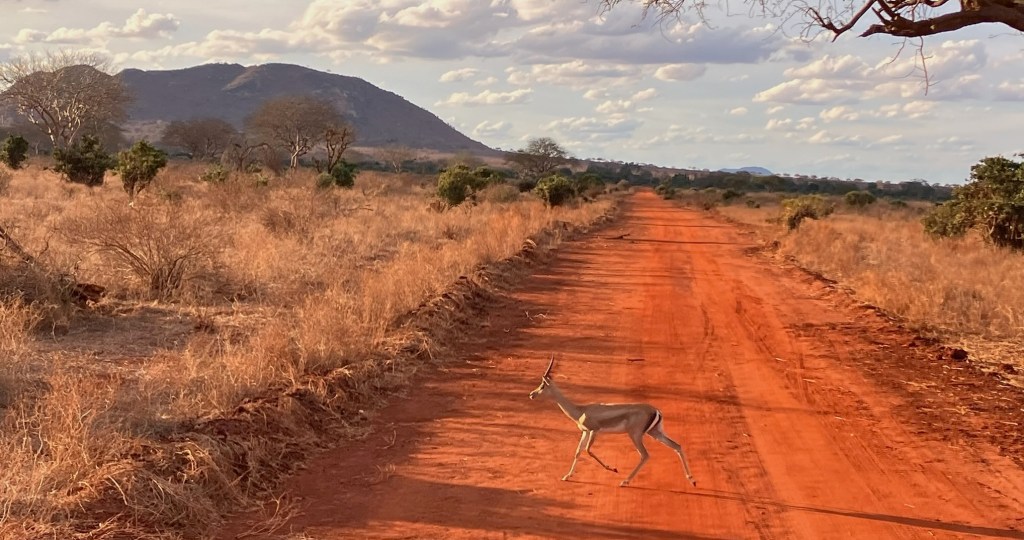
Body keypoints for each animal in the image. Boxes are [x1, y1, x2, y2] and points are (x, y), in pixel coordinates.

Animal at [529, 355, 696, 487]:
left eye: (542, 385)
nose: (531, 394)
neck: (581, 410)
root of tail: (656, 411)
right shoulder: (585, 432)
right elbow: (578, 451)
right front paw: (566, 476)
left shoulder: (594, 430)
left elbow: (588, 450)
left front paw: (612, 468)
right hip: (655, 433)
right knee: (677, 446)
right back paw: (692, 480)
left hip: (635, 435)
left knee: (645, 455)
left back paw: (624, 481)